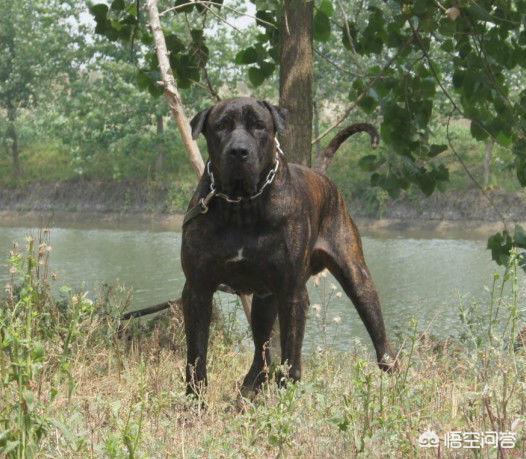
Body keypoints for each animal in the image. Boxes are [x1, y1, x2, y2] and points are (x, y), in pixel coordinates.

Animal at [180, 96, 396, 396]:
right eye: (221, 126)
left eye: (259, 125)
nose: (239, 151)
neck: (241, 204)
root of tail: (321, 176)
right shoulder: (197, 289)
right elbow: (196, 356)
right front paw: (194, 400)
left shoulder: (291, 292)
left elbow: (290, 357)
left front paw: (287, 399)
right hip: (264, 300)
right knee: (261, 352)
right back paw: (249, 390)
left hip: (357, 279)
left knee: (381, 342)